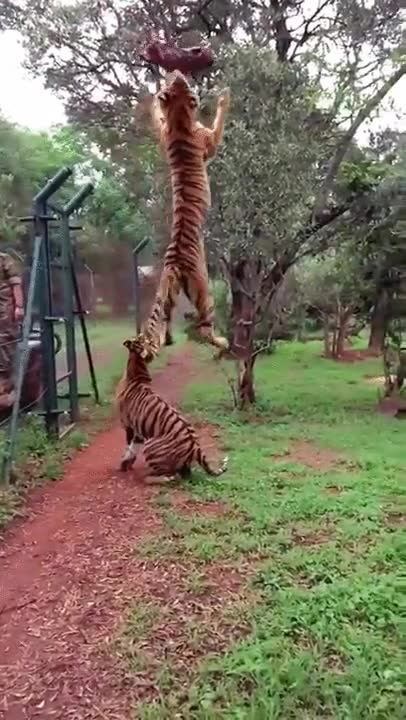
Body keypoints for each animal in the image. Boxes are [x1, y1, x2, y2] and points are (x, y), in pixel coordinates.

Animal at [116, 338, 228, 481]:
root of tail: (195, 447)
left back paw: (148, 478)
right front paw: (127, 464)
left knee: (171, 476)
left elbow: (129, 448)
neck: (137, 373)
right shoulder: (139, 430)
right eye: (143, 340)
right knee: (183, 474)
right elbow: (133, 448)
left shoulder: (128, 425)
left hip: (150, 445)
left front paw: (125, 465)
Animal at [138, 70, 230, 361]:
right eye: (183, 82)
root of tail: (173, 261)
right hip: (204, 291)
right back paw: (223, 343)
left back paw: (166, 340)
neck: (179, 118)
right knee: (204, 328)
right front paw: (224, 97)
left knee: (164, 319)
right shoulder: (210, 142)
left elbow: (156, 117)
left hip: (169, 293)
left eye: (175, 81)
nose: (177, 72)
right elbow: (219, 124)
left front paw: (151, 100)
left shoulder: (163, 131)